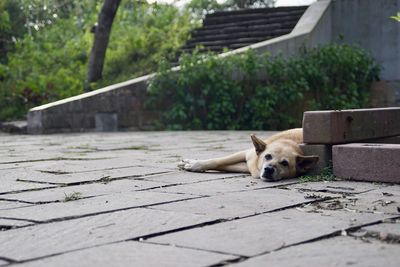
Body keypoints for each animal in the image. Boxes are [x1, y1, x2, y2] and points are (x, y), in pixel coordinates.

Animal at [178, 128, 318, 182]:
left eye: (285, 163)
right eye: (268, 156)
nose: (268, 169)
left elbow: (223, 165)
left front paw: (192, 164)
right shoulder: (247, 154)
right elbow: (218, 161)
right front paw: (194, 164)